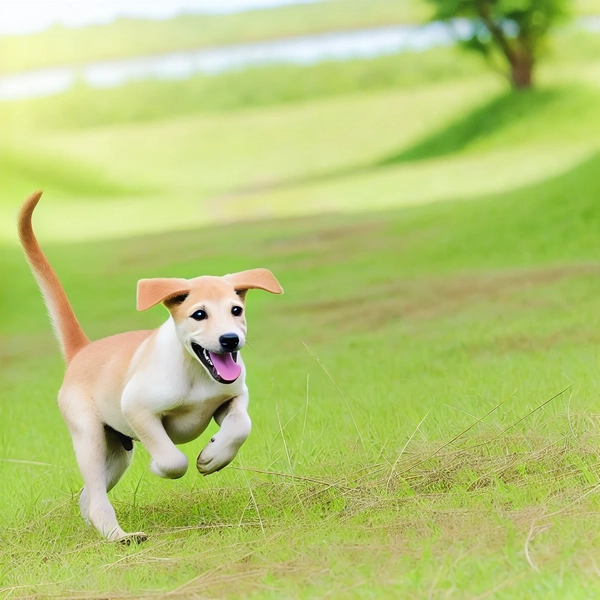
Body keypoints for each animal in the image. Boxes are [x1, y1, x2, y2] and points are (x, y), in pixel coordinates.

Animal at [16, 193, 284, 544]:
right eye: (199, 314)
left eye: (236, 310)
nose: (230, 340)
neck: (194, 371)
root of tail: (83, 350)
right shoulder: (137, 409)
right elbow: (172, 459)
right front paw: (161, 467)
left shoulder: (233, 397)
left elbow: (241, 425)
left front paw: (213, 457)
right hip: (89, 438)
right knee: (97, 497)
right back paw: (119, 536)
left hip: (117, 453)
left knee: (89, 495)